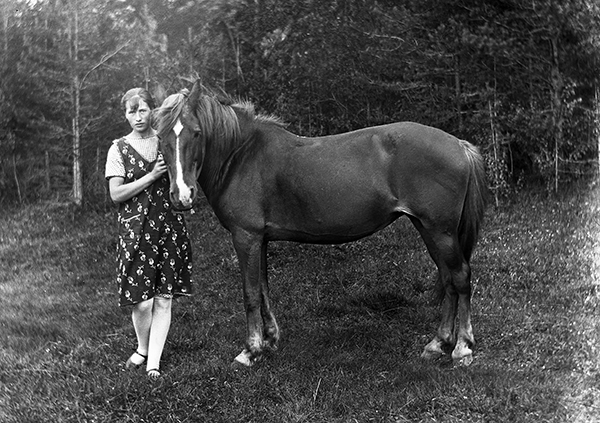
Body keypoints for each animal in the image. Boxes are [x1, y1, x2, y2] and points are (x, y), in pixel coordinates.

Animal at [155, 83, 488, 368]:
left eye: (196, 133)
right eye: (160, 137)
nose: (181, 196)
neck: (241, 156)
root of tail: (459, 145)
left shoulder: (245, 237)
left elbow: (250, 294)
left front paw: (250, 350)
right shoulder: (259, 239)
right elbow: (262, 290)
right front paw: (270, 340)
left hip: (440, 231)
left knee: (460, 277)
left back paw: (462, 348)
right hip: (428, 229)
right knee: (448, 279)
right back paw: (438, 344)